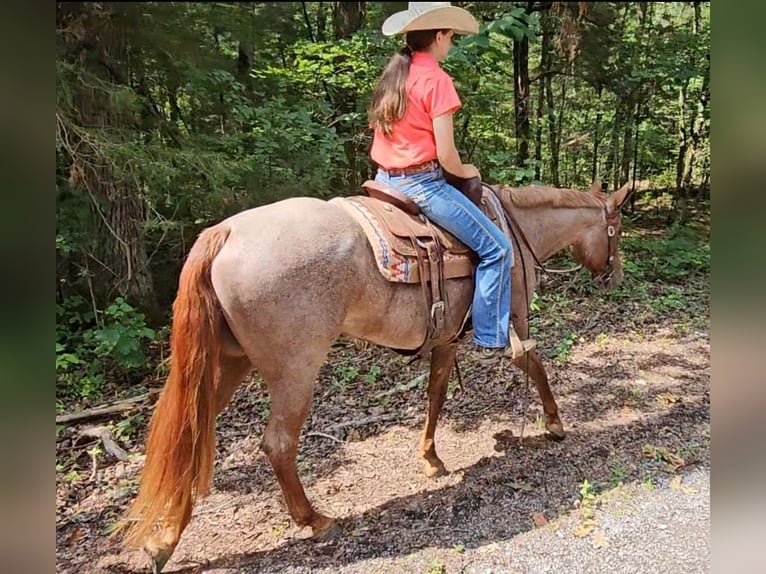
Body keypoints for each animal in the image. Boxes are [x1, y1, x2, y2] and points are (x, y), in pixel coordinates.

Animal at [120, 179, 632, 572]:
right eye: (616, 230)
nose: (615, 276)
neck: (515, 230)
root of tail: (226, 232)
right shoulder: (513, 323)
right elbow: (535, 363)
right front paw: (555, 423)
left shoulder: (445, 339)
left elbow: (436, 393)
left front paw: (430, 458)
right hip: (295, 371)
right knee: (278, 444)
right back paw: (315, 520)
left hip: (227, 364)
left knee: (190, 437)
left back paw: (164, 541)